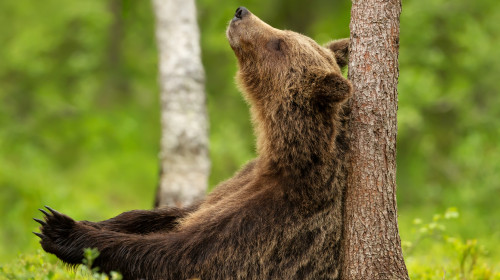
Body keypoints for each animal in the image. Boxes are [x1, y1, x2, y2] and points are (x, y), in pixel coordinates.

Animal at [34, 7, 352, 280]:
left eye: (279, 42)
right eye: (284, 33)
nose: (241, 12)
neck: (279, 153)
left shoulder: (273, 223)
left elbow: (179, 256)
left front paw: (61, 228)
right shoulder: (235, 184)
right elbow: (176, 212)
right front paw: (94, 221)